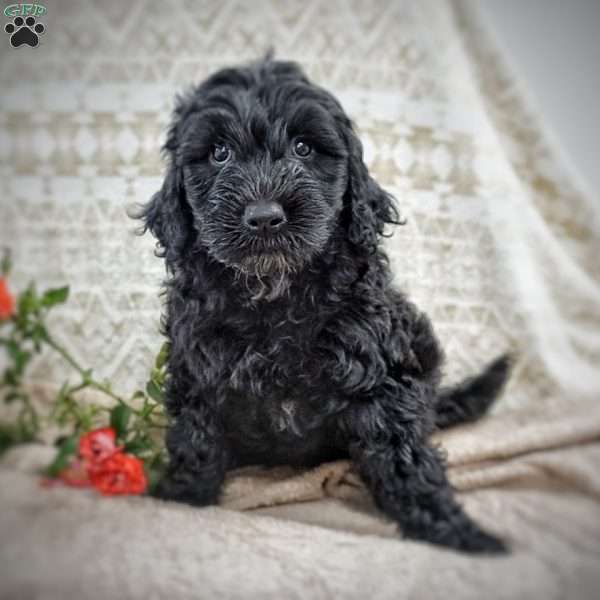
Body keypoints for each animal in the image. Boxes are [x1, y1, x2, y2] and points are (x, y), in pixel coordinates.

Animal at [141, 57, 510, 552]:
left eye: (303, 148)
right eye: (219, 153)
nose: (265, 217)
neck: (273, 290)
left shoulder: (379, 371)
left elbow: (403, 455)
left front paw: (451, 529)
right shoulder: (199, 370)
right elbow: (196, 442)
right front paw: (180, 497)